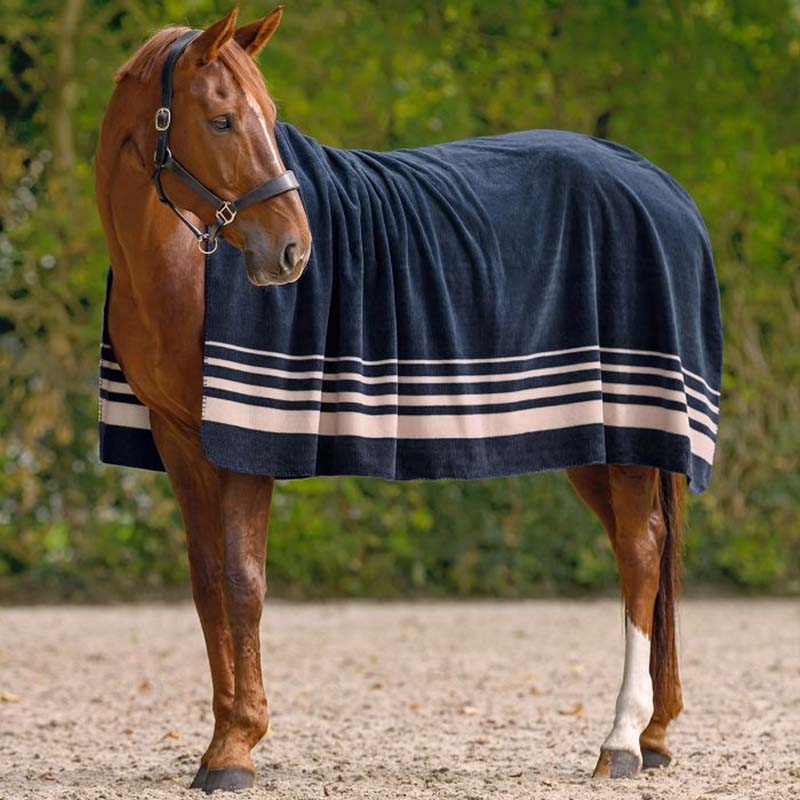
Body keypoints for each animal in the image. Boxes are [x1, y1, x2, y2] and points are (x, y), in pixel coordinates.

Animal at [95, 7, 712, 793]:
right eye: (223, 120)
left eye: (269, 118)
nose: (293, 252)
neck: (180, 274)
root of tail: (663, 188)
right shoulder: (180, 441)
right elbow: (208, 585)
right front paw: (218, 742)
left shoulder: (248, 441)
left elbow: (243, 581)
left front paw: (236, 747)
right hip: (598, 443)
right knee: (647, 560)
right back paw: (656, 733)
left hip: (630, 434)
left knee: (640, 552)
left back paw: (622, 740)